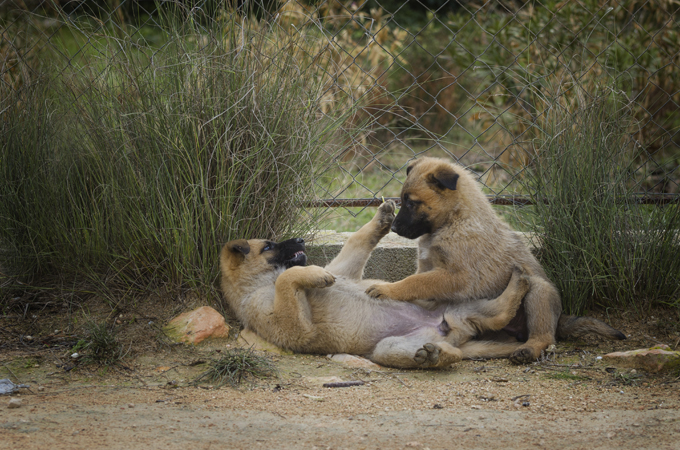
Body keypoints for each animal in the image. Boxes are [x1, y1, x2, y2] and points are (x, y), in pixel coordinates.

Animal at [220, 201, 532, 370]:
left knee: (497, 314)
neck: (262, 282)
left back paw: (519, 281)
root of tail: (453, 333)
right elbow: (289, 278)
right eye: (268, 246)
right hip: (388, 348)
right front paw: (314, 275)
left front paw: (382, 218)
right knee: (454, 355)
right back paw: (434, 356)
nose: (301, 241)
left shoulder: (345, 269)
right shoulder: (294, 328)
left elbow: (356, 241)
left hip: (457, 308)